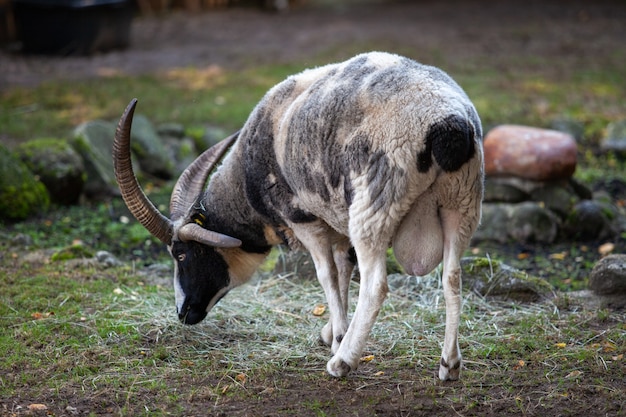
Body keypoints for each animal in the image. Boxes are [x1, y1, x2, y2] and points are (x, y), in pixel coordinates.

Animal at [112, 50, 482, 378]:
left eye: (182, 254)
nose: (184, 313)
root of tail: (447, 124)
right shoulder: (338, 223)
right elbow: (344, 269)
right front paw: (331, 331)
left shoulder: (304, 219)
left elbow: (328, 275)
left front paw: (337, 340)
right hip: (461, 205)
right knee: (452, 276)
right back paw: (449, 365)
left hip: (375, 206)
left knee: (376, 284)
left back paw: (343, 363)